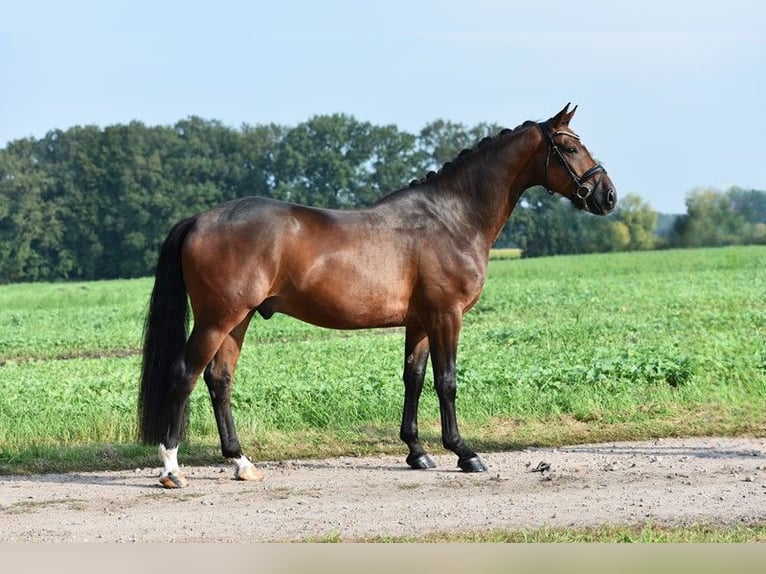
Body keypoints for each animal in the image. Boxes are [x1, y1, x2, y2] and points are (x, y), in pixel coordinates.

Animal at [138, 104, 616, 490]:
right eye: (570, 148)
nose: (607, 195)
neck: (451, 218)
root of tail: (200, 219)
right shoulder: (447, 316)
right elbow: (447, 381)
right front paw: (464, 453)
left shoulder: (420, 322)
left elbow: (414, 378)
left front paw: (417, 452)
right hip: (217, 318)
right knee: (184, 375)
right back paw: (171, 469)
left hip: (239, 319)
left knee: (219, 380)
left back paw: (241, 462)